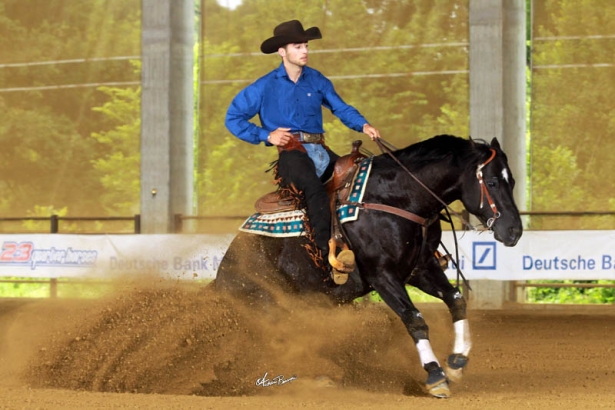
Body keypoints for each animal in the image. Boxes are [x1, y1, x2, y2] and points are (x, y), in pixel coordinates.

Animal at [214, 135, 524, 398]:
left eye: (512, 181)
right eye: (492, 182)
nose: (514, 231)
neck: (396, 198)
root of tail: (223, 273)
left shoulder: (421, 269)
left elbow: (456, 300)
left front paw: (457, 362)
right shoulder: (381, 275)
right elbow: (414, 318)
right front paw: (436, 375)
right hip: (266, 305)